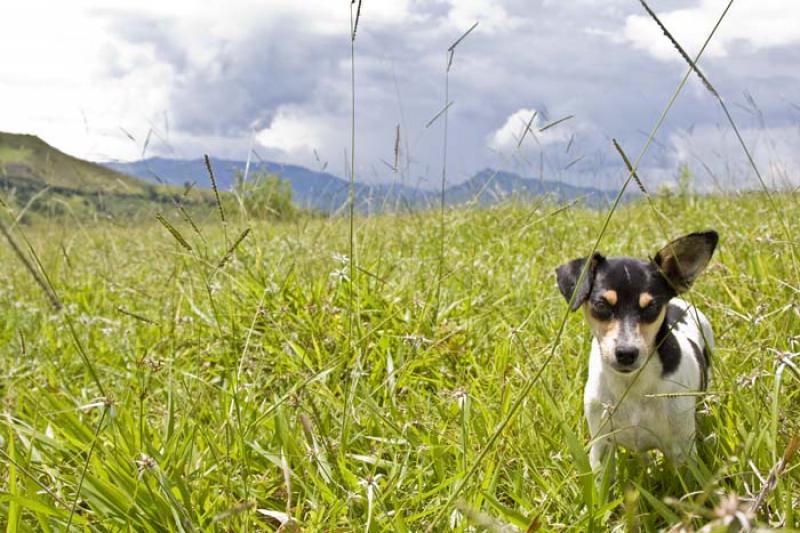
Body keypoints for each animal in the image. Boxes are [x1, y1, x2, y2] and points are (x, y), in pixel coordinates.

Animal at [556, 230, 720, 470]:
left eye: (651, 307)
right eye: (601, 305)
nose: (626, 353)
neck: (632, 386)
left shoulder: (683, 451)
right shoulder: (601, 445)